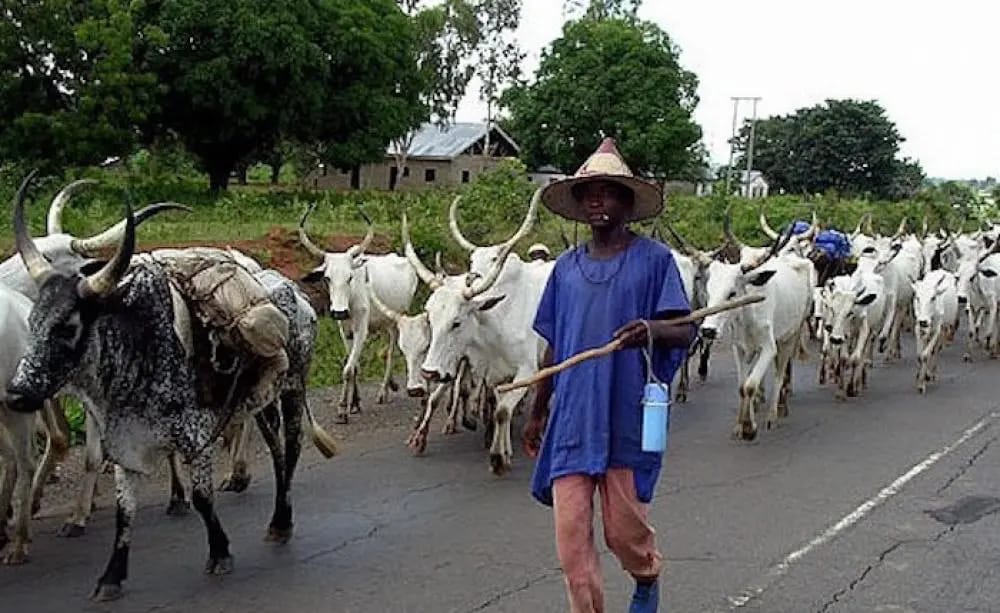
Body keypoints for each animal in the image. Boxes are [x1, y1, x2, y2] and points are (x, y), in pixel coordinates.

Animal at [298, 203, 420, 418]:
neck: (352, 296)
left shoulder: (361, 329)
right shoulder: (345, 330)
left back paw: (384, 390)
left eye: (349, 277)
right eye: (327, 278)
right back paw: (391, 384)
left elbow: (348, 369)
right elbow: (353, 365)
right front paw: (354, 402)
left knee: (390, 352)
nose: (339, 312)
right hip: (384, 322)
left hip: (398, 319)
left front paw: (342, 408)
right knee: (385, 350)